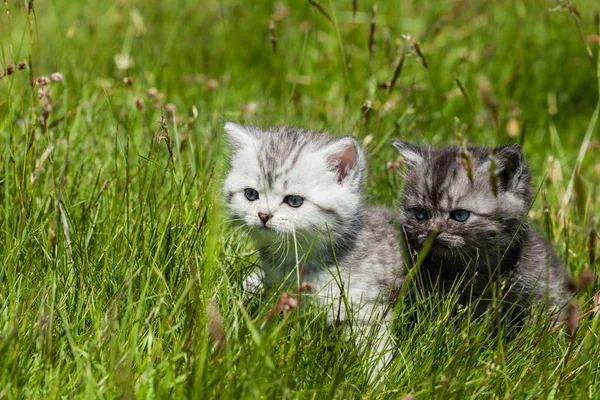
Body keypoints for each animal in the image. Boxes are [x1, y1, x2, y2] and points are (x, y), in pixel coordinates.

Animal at [225, 122, 408, 378]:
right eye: (251, 194)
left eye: (294, 201)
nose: (263, 215)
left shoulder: (366, 309)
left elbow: (376, 351)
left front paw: (378, 382)